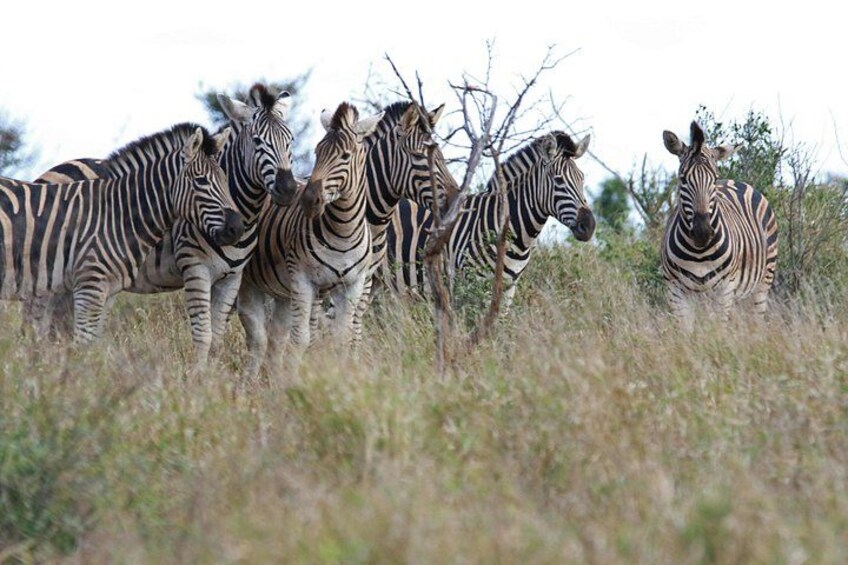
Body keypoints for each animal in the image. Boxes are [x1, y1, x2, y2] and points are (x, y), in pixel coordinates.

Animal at [0, 123, 244, 342]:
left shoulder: (106, 288)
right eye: (201, 180)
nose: (238, 227)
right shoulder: (89, 285)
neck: (118, 213)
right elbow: (82, 344)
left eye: (225, 178)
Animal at [25, 84, 297, 368]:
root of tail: (49, 173)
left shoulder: (231, 278)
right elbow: (203, 336)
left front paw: (213, 375)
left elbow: (217, 339)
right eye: (257, 141)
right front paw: (198, 377)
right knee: (37, 325)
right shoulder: (195, 269)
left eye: (290, 140)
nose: (288, 189)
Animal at [237, 102, 381, 378]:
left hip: (282, 291)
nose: (307, 200)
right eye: (317, 152)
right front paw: (294, 381)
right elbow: (300, 339)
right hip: (249, 284)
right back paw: (248, 382)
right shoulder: (303, 281)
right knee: (256, 338)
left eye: (345, 156)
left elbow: (342, 339)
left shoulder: (353, 285)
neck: (344, 230)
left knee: (274, 338)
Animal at [661, 121, 778, 324]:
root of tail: (735, 181)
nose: (703, 232)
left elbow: (718, 329)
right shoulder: (675, 291)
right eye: (683, 179)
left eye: (714, 179)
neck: (698, 253)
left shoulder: (724, 290)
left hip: (761, 284)